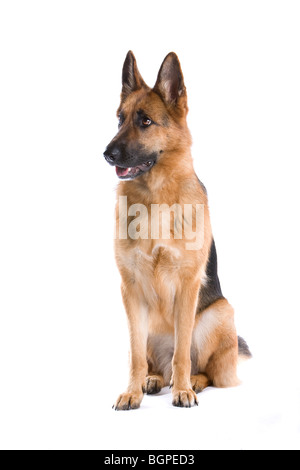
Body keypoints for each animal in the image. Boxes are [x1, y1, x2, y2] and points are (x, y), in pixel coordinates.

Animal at [103, 51, 251, 410]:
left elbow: (183, 350)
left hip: (219, 313)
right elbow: (135, 357)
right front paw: (131, 391)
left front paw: (183, 389)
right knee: (151, 361)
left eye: (145, 121)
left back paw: (191, 382)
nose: (107, 154)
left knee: (206, 369)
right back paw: (153, 379)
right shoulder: (129, 290)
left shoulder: (187, 286)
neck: (155, 198)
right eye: (119, 120)